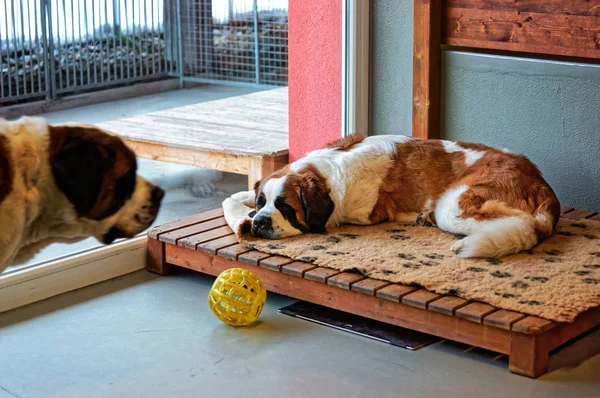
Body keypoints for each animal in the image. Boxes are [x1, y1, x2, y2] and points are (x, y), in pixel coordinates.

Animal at [251, 134, 560, 258]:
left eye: (285, 207)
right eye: (261, 203)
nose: (259, 222)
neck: (326, 169)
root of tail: (540, 181)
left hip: (453, 205)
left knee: (524, 226)